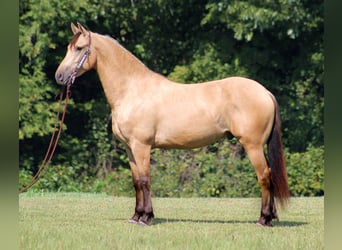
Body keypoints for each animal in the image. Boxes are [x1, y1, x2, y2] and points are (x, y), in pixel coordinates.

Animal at [55, 23, 288, 227]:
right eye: (68, 47)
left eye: (79, 48)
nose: (59, 76)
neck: (133, 90)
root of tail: (265, 92)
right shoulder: (130, 148)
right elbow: (136, 182)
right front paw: (136, 216)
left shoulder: (142, 146)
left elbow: (145, 180)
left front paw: (145, 217)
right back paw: (270, 217)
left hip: (253, 146)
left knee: (264, 177)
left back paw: (263, 219)